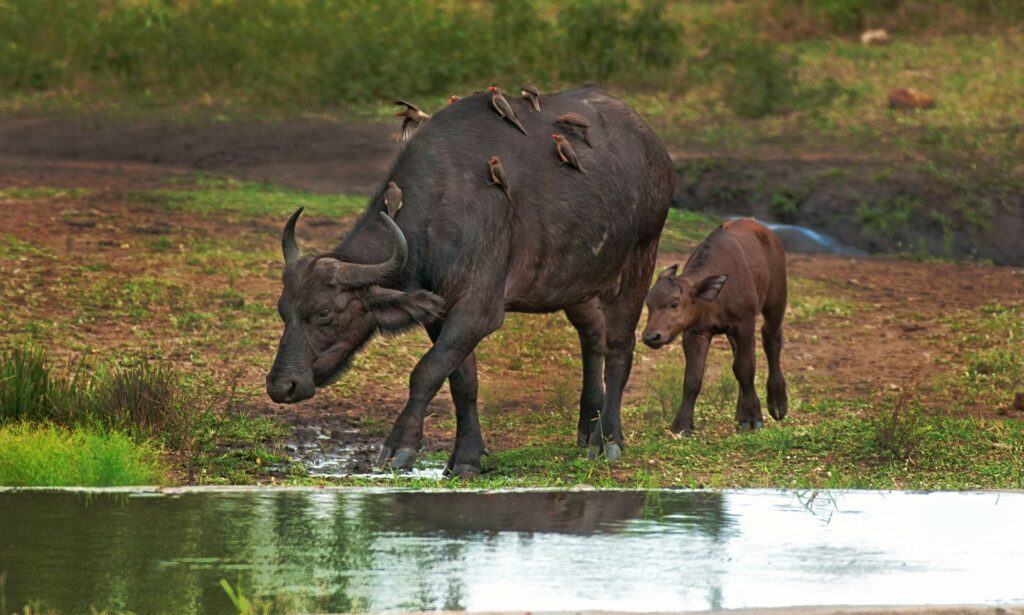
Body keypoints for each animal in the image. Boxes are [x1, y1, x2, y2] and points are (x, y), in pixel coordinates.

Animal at [268, 83, 675, 472]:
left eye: (325, 314)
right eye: (283, 311)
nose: (281, 386)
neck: (439, 209)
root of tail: (654, 145)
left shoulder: (478, 310)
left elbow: (426, 371)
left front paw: (400, 446)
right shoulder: (440, 312)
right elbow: (461, 382)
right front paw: (467, 457)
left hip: (641, 257)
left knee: (619, 346)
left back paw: (608, 439)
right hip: (577, 282)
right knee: (592, 336)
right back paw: (587, 428)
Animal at [643, 217, 786, 433]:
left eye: (674, 304)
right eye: (648, 304)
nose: (651, 336)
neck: (717, 298)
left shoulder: (744, 323)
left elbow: (745, 368)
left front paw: (753, 418)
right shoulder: (695, 333)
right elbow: (692, 378)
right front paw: (682, 425)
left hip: (775, 302)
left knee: (771, 339)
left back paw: (777, 403)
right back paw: (740, 414)